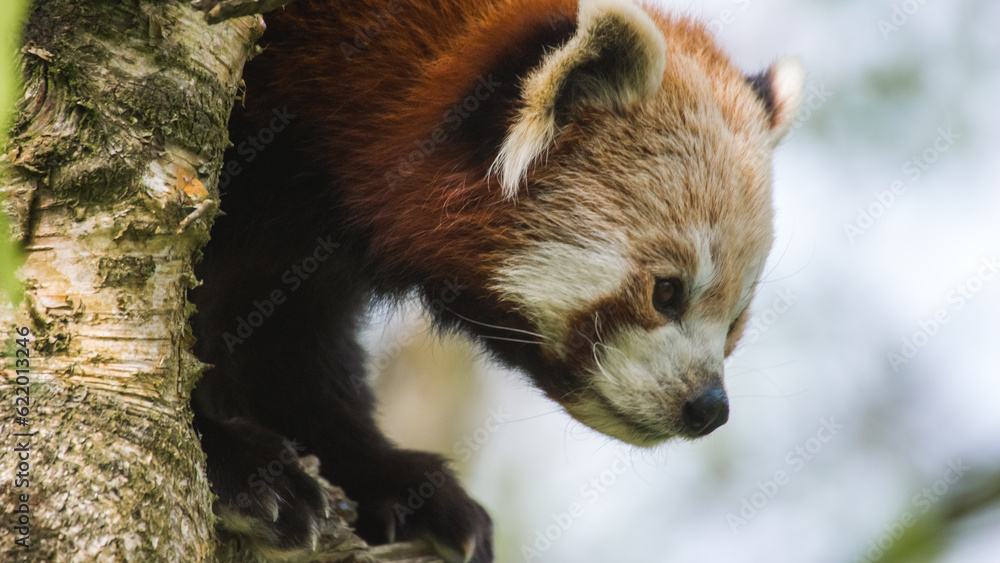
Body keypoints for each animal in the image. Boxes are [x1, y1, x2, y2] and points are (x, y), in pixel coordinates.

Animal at [188, 0, 805, 561]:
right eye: (667, 292)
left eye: (735, 322)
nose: (709, 407)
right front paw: (238, 466)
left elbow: (287, 350)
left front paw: (394, 480)